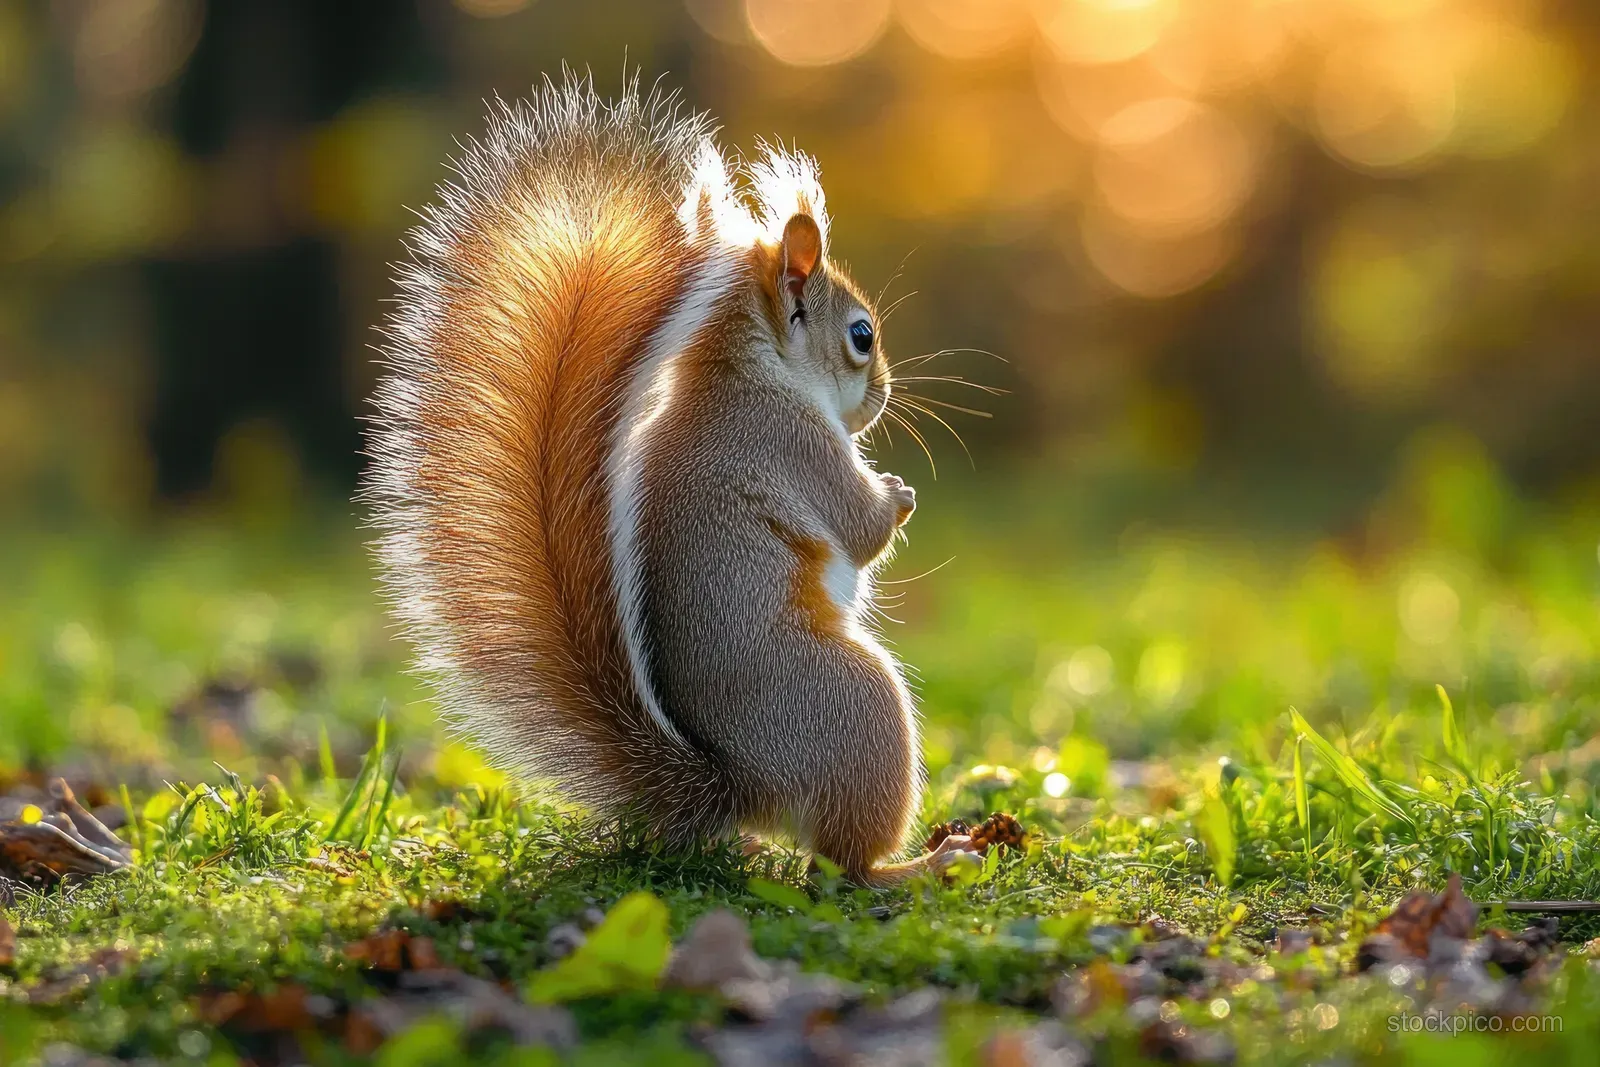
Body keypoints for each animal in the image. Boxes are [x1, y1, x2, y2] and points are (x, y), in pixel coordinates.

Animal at [363, 76, 979, 885]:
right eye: (861, 335)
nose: (881, 394)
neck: (749, 372)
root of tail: (740, 785)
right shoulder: (794, 445)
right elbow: (859, 527)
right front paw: (899, 494)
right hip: (860, 708)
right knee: (842, 864)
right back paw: (926, 863)